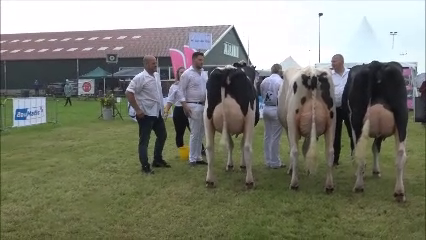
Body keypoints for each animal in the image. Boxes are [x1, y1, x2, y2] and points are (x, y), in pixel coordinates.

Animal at [342, 60, 410, 202]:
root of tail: (377, 64)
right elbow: (375, 147)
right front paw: (375, 170)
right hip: (402, 116)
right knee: (401, 153)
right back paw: (400, 192)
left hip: (356, 119)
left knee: (359, 151)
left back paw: (359, 185)